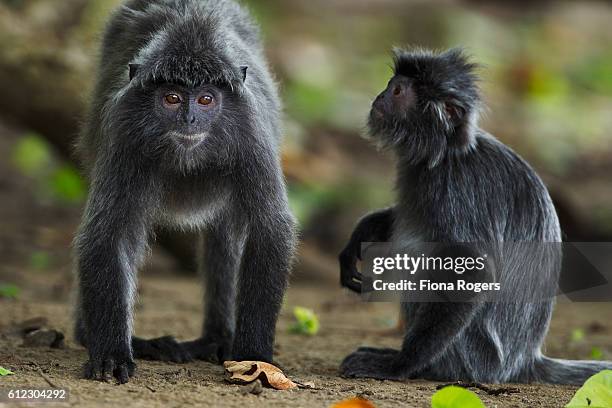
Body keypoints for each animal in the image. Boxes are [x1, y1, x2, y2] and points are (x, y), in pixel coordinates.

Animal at [74, 0, 294, 382]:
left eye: (205, 99)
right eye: (173, 98)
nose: (189, 120)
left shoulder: (251, 133)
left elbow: (270, 228)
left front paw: (254, 356)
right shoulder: (124, 133)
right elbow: (108, 234)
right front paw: (112, 354)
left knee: (224, 236)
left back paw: (217, 340)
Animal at [340, 49, 612, 384]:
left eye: (398, 91)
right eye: (391, 85)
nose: (380, 96)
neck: (447, 153)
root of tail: (522, 363)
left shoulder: (457, 188)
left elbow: (472, 270)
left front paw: (399, 365)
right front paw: (361, 234)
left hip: (475, 357)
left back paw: (420, 366)